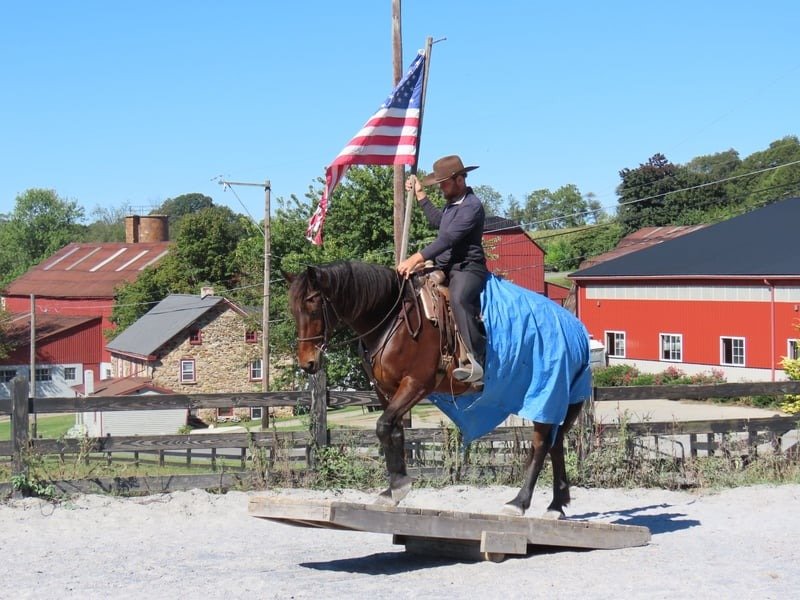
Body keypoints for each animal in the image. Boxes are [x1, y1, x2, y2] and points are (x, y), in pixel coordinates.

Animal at [286, 259, 589, 517]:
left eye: (313, 306)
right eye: (293, 310)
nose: (307, 363)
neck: (392, 318)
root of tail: (576, 329)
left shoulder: (415, 384)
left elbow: (383, 427)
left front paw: (398, 486)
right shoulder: (385, 391)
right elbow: (393, 432)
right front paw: (394, 489)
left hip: (547, 394)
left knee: (540, 444)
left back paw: (519, 503)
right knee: (555, 443)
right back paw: (556, 505)